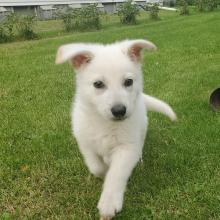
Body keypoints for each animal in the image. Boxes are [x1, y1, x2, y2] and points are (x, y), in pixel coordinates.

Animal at [55, 38, 176, 219]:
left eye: (128, 82)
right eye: (98, 84)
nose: (119, 110)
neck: (105, 123)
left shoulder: (126, 148)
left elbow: (116, 174)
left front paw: (109, 203)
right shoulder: (85, 143)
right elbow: (96, 167)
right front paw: (103, 171)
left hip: (141, 129)